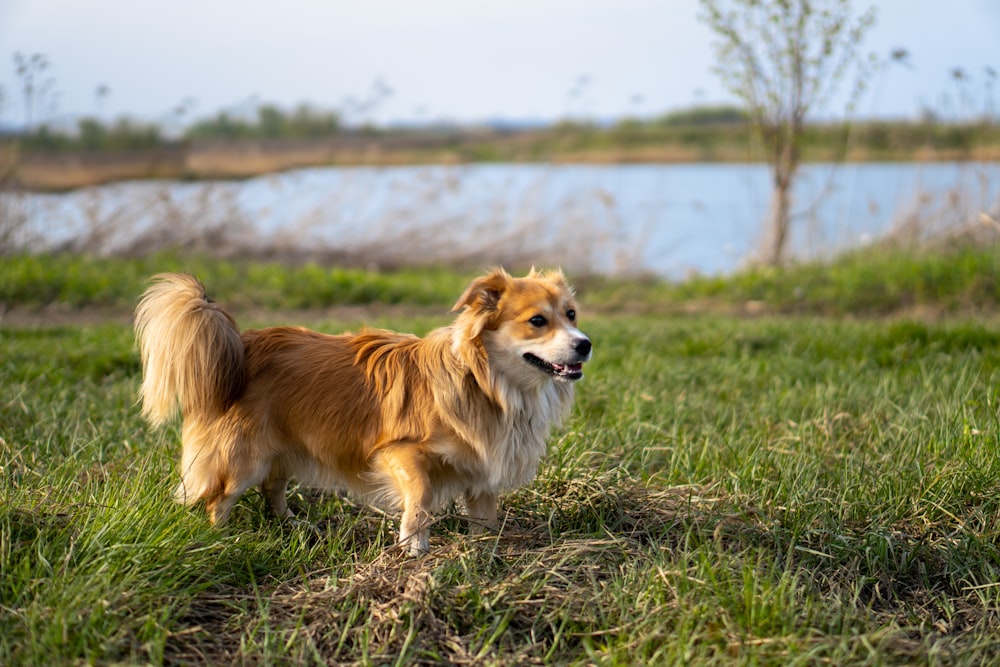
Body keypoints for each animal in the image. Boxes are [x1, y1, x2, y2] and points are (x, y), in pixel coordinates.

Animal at [132, 268, 584, 556]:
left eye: (571, 315)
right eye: (537, 321)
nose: (585, 344)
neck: (486, 381)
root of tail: (241, 345)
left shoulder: (481, 471)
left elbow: (485, 516)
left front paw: (484, 550)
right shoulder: (400, 452)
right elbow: (420, 498)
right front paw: (414, 548)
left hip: (283, 447)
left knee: (272, 488)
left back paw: (291, 524)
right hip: (243, 456)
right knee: (220, 499)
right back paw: (221, 539)